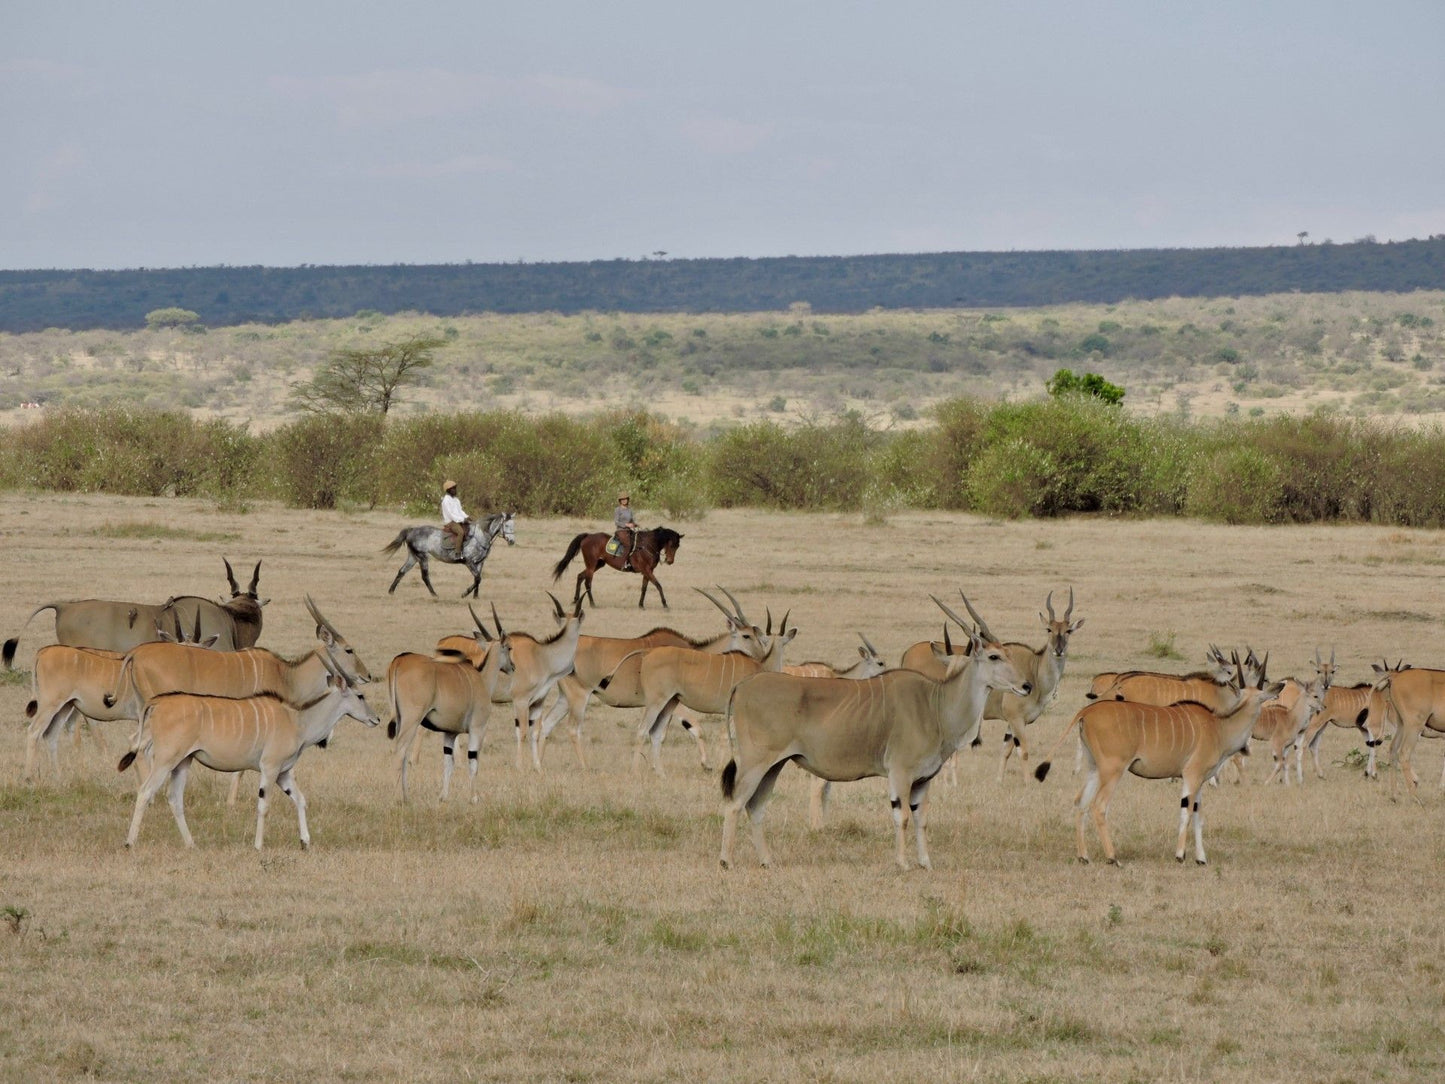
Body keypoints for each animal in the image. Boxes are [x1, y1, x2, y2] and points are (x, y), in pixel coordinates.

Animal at [387, 514, 517, 598]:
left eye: (513, 525)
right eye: (506, 526)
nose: (512, 541)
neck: (480, 537)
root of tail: (412, 530)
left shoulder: (480, 562)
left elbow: (478, 579)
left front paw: (475, 597)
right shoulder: (469, 562)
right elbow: (478, 578)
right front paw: (464, 594)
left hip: (413, 557)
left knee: (402, 571)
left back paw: (391, 591)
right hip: (422, 557)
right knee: (424, 576)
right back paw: (434, 594)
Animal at [554, 528, 684, 612]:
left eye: (678, 546)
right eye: (671, 545)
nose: (670, 561)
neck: (648, 545)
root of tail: (588, 536)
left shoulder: (647, 571)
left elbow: (644, 588)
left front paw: (641, 605)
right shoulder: (647, 570)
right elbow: (658, 585)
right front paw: (665, 605)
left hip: (598, 565)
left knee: (580, 576)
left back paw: (575, 600)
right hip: (591, 565)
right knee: (588, 583)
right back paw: (592, 604)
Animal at [719, 604, 1028, 872]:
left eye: (1008, 653)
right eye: (994, 657)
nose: (1026, 686)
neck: (935, 704)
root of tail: (742, 686)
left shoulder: (923, 780)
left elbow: (921, 819)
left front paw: (925, 863)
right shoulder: (900, 773)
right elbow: (902, 816)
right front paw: (902, 863)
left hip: (775, 765)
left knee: (755, 807)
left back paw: (767, 861)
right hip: (755, 763)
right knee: (735, 804)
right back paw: (727, 861)